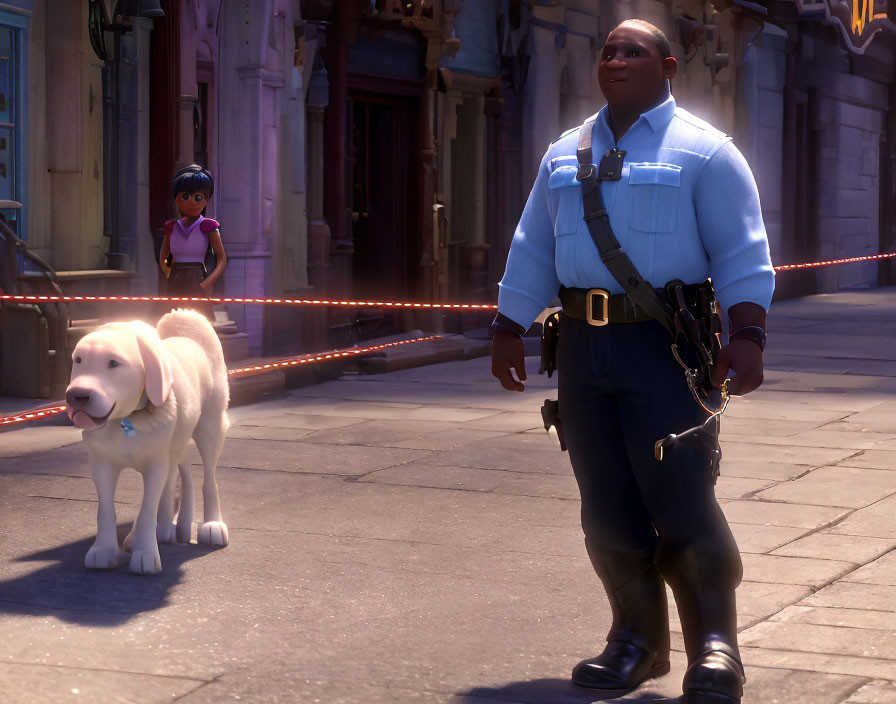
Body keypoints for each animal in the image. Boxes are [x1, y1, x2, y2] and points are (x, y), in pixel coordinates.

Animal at [68, 310, 233, 576]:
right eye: (79, 360)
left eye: (113, 363)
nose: (77, 396)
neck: (126, 420)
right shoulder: (102, 463)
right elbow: (106, 509)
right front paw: (103, 550)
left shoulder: (156, 464)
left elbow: (147, 508)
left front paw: (145, 553)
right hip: (178, 440)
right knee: (180, 474)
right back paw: (168, 527)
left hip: (211, 426)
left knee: (208, 478)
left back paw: (211, 525)